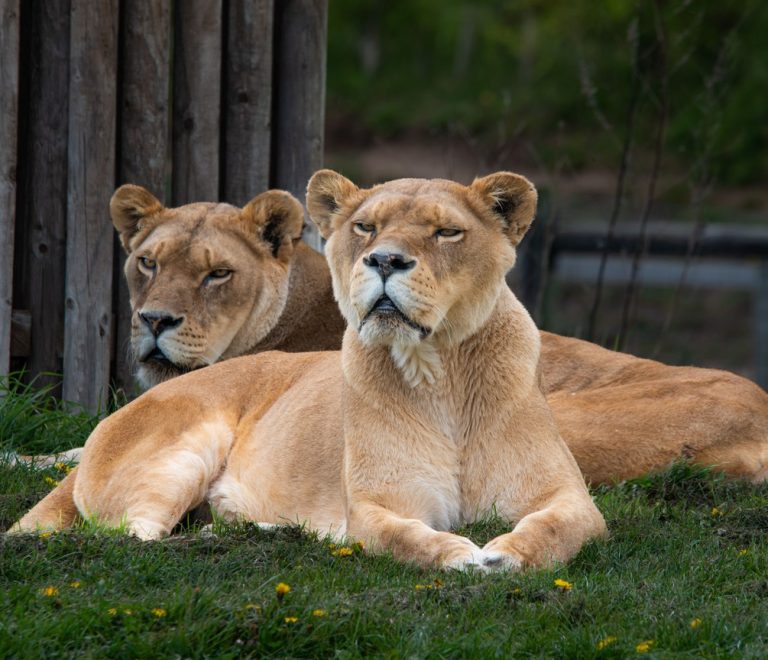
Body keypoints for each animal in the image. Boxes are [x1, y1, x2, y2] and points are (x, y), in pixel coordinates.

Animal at [12, 170, 606, 571]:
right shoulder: (376, 506)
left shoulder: (572, 500)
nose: (384, 260)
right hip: (181, 451)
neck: (442, 373)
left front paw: (505, 555)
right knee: (132, 539)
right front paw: (460, 554)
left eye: (446, 233)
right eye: (365, 228)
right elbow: (405, 538)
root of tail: (109, 423)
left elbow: (556, 530)